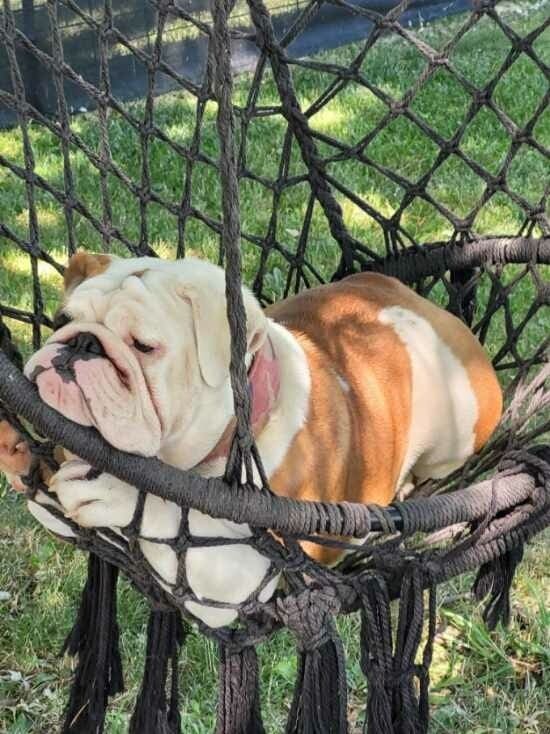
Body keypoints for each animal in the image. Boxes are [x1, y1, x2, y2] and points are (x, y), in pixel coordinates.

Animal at [0, 253, 502, 628]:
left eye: (145, 347)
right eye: (62, 320)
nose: (81, 343)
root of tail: (433, 310)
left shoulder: (238, 582)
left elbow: (165, 517)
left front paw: (112, 491)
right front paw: (18, 451)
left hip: (456, 432)